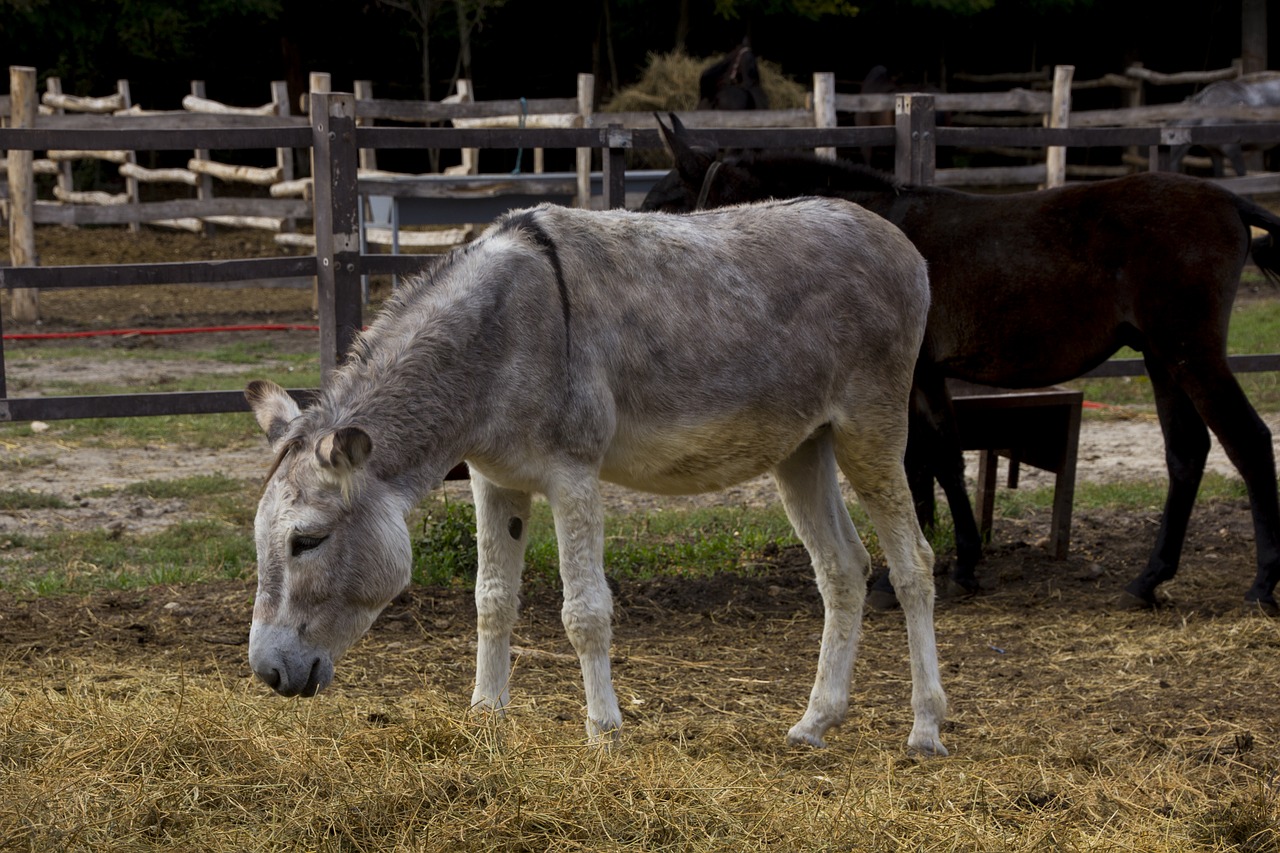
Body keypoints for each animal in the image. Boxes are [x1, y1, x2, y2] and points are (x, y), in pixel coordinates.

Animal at [640, 116, 1280, 612]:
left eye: (667, 200)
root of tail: (1228, 199)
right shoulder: (924, 376)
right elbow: (941, 456)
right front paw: (963, 562)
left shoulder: (901, 378)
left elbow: (917, 461)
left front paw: (903, 577)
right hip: (1160, 358)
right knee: (1186, 454)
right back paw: (1148, 580)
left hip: (1189, 353)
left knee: (1248, 441)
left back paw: (1261, 584)